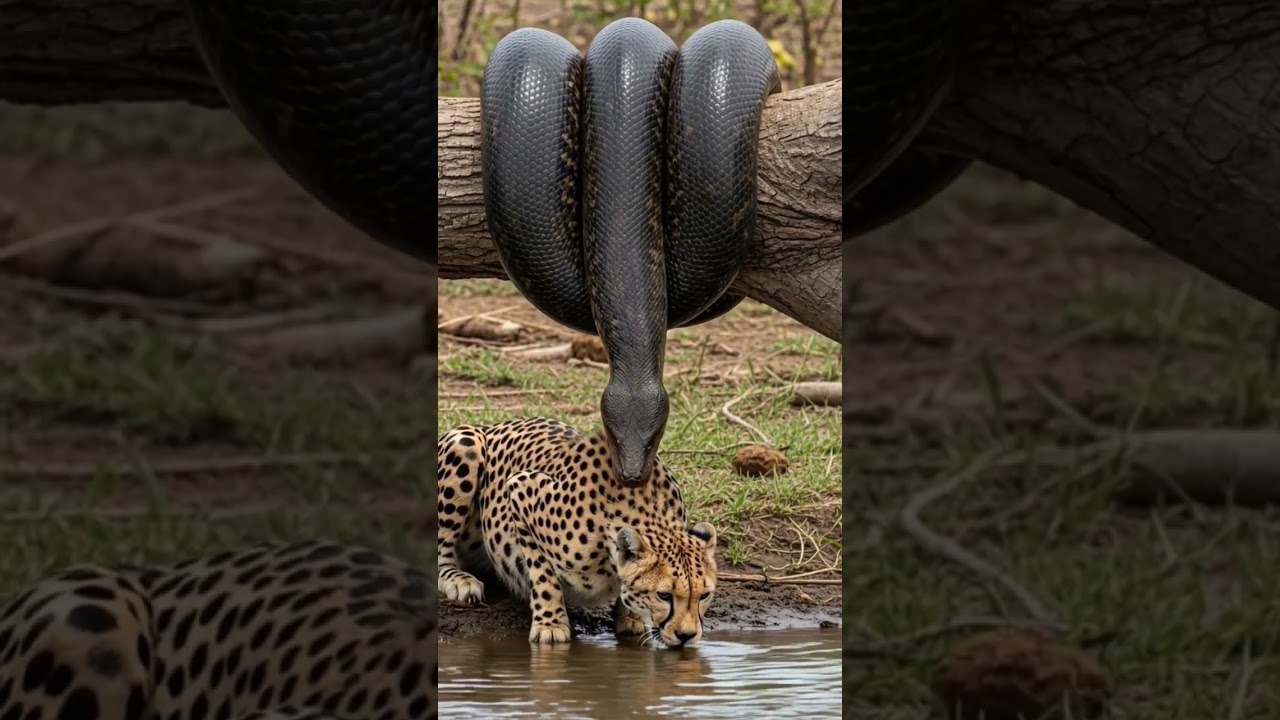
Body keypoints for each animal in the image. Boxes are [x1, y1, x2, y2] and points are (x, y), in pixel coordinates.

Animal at [436, 416, 718, 647]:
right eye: (664, 595)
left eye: (704, 595)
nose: (687, 636)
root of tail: (492, 425)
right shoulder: (520, 487)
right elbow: (543, 575)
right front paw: (551, 624)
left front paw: (632, 617)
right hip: (465, 444)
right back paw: (458, 580)